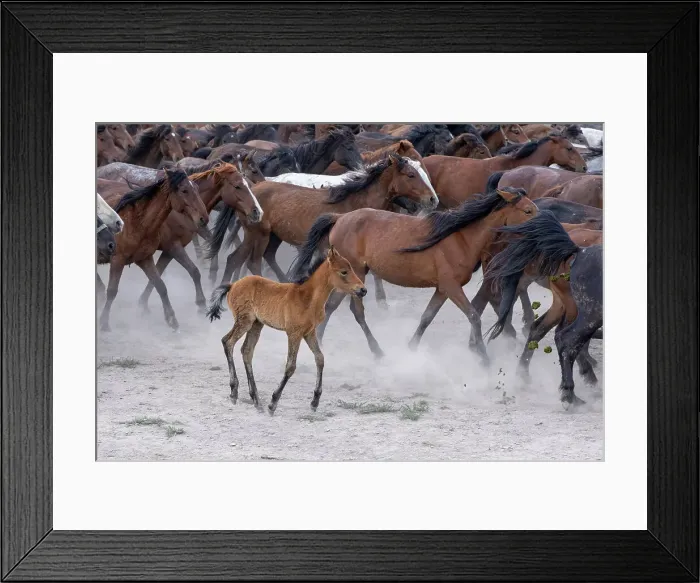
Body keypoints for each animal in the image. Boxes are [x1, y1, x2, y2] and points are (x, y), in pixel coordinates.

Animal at [98, 168, 208, 332]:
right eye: (184, 190)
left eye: (196, 188)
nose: (204, 218)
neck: (137, 224)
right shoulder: (118, 260)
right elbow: (112, 291)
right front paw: (104, 322)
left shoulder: (145, 259)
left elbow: (161, 285)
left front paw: (171, 319)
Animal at [206, 246, 366, 414]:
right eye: (344, 271)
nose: (363, 290)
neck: (308, 298)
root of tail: (232, 285)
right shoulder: (294, 333)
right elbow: (290, 366)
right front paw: (273, 402)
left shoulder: (309, 332)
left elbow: (320, 358)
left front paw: (315, 401)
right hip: (245, 321)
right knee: (228, 342)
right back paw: (234, 392)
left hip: (256, 324)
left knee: (246, 351)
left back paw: (256, 400)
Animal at [207, 154, 440, 286]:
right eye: (410, 175)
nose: (433, 199)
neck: (355, 200)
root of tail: (252, 191)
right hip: (258, 234)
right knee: (249, 261)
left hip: (272, 236)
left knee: (248, 258)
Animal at [291, 187, 538, 363]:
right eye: (527, 210)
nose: (542, 228)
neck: (461, 238)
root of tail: (339, 218)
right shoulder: (451, 286)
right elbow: (473, 316)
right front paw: (484, 358)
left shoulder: (442, 289)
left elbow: (427, 317)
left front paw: (411, 349)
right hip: (355, 273)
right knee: (356, 311)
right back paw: (377, 351)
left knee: (331, 306)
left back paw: (322, 342)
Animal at [486, 211, 602, 407]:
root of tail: (578, 251)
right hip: (588, 311)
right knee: (567, 338)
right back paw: (572, 393)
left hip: (566, 305)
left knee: (543, 330)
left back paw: (524, 375)